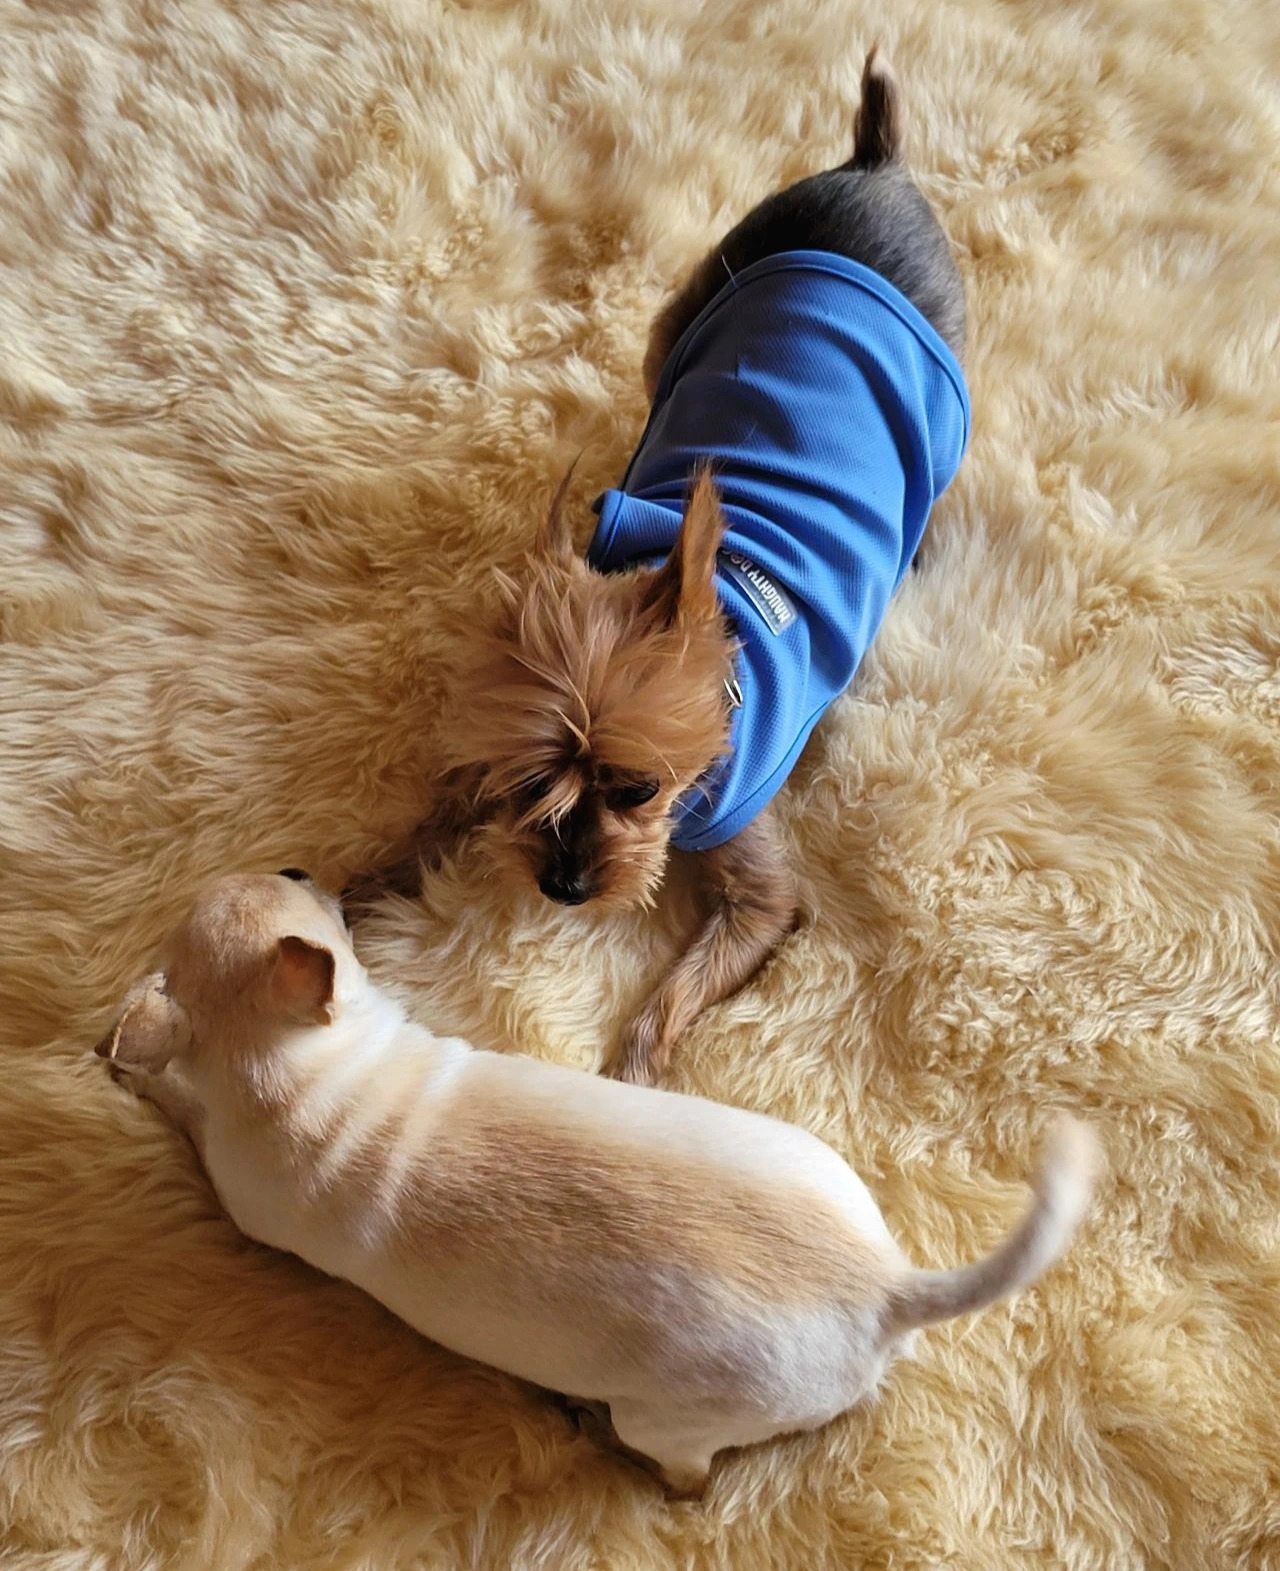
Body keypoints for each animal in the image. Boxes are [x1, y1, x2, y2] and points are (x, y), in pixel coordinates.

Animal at [96, 870, 1098, 1498]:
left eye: (302, 891)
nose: (303, 861)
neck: (304, 1066)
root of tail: (886, 1284)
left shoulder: (241, 1184)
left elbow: (183, 1101)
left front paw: (138, 1068)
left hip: (670, 1418)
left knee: (687, 1481)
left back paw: (593, 1434)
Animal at [346, 50, 970, 1086]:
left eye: (637, 788)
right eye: (530, 784)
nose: (562, 885)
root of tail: (874, 165)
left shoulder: (764, 896)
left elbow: (673, 995)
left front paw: (633, 1083)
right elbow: (436, 813)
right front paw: (359, 882)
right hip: (683, 315)